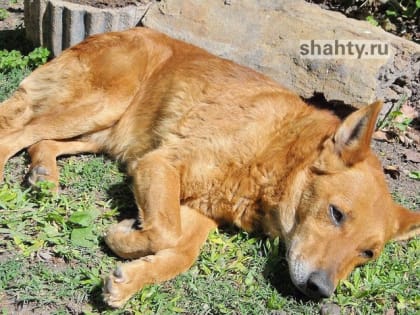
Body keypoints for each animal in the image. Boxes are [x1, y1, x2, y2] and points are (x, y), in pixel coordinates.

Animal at [0, 27, 420, 308]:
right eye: (336, 213)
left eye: (367, 254)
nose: (320, 290)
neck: (279, 150)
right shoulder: (160, 163)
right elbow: (166, 233)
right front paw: (126, 238)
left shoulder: (200, 209)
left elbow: (181, 251)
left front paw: (131, 274)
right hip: (102, 105)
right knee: (15, 133)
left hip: (103, 132)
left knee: (41, 141)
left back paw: (44, 174)